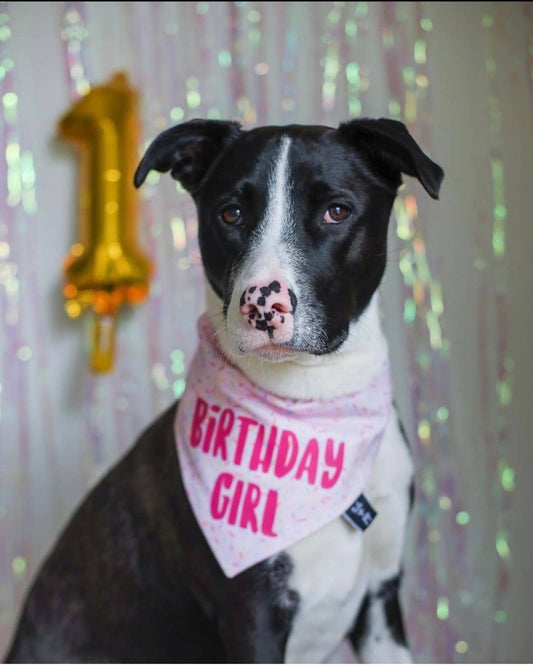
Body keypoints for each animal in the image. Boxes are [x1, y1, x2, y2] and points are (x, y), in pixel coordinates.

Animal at [6, 116, 442, 660]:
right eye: (231, 214)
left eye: (336, 211)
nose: (262, 304)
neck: (313, 402)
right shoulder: (252, 617)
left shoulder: (381, 602)